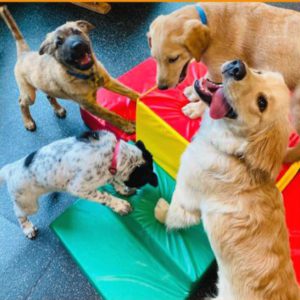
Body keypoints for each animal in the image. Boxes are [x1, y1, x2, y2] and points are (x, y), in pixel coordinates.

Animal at [0, 6, 139, 134]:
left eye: (77, 32)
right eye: (59, 43)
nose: (77, 46)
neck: (87, 75)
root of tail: (24, 54)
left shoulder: (109, 81)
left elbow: (128, 91)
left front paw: (140, 97)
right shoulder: (90, 106)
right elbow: (110, 115)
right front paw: (127, 126)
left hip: (44, 86)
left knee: (48, 95)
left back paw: (58, 109)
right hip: (29, 94)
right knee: (21, 102)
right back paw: (28, 121)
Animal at [148, 2, 300, 125]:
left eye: (173, 59)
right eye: (154, 58)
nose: (161, 87)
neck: (208, 22)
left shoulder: (221, 72)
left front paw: (195, 108)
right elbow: (205, 80)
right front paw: (193, 91)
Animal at [155, 59, 300, 298]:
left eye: (262, 103)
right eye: (258, 72)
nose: (237, 67)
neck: (234, 152)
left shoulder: (186, 196)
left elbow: (173, 215)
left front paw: (160, 212)